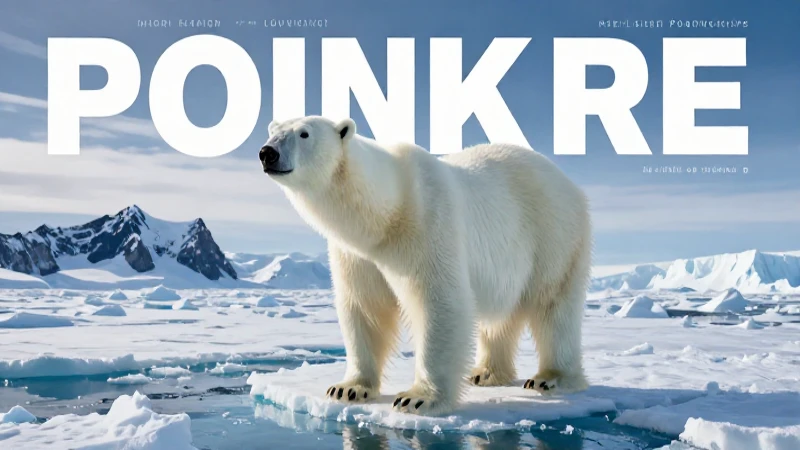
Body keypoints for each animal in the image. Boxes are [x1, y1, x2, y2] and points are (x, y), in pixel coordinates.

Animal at [258, 116, 592, 415]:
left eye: (304, 133)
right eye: (274, 130)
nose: (267, 152)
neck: (386, 213)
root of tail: (570, 184)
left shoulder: (427, 225)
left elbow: (438, 302)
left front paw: (417, 398)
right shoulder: (356, 255)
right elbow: (365, 307)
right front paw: (347, 388)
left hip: (553, 234)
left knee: (553, 303)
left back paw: (550, 378)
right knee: (501, 319)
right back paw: (485, 373)